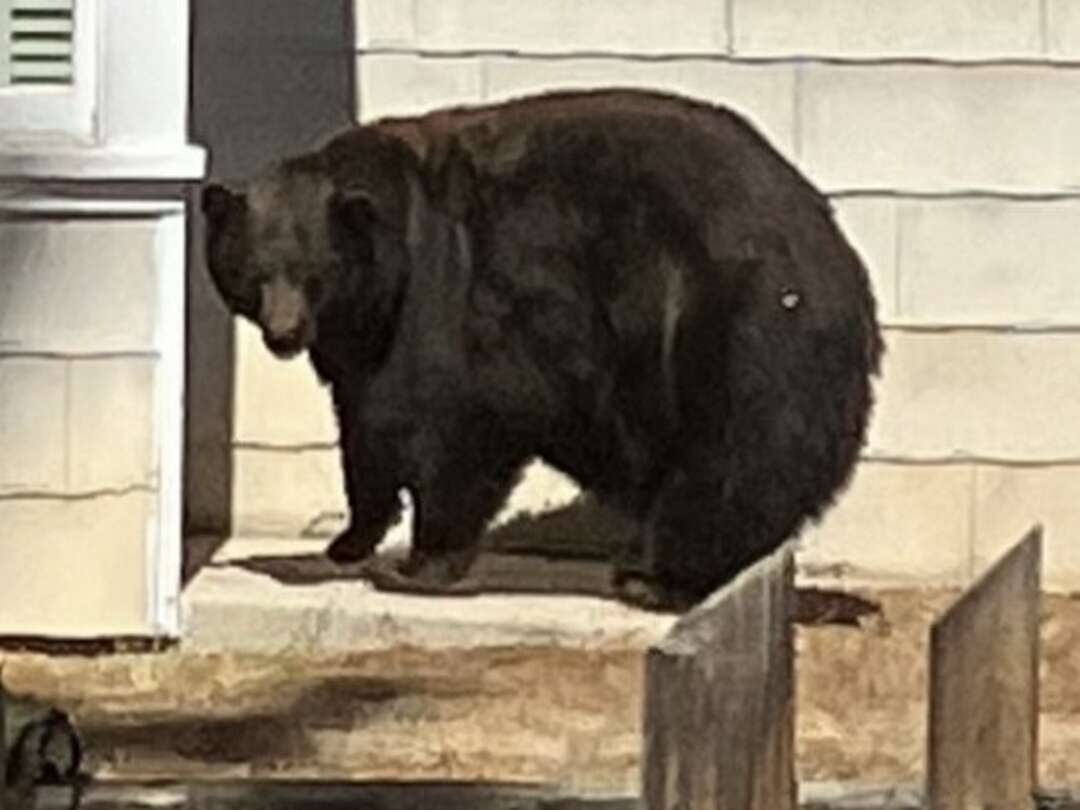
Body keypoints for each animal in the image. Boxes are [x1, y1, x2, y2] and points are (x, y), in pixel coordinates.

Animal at [201, 88, 883, 611]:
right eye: (254, 271)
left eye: (314, 272)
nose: (284, 334)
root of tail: (839, 257)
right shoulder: (362, 343)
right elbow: (366, 429)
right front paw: (348, 540)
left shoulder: (457, 300)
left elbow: (456, 426)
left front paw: (418, 563)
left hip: (731, 330)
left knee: (730, 459)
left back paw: (656, 577)